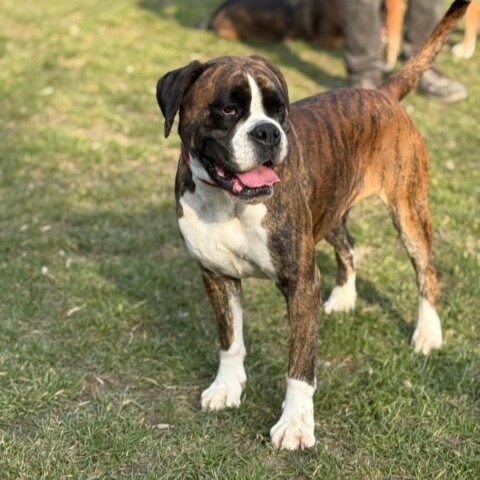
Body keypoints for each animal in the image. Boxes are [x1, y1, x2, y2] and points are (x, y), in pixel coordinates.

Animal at [156, 0, 470, 450]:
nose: (268, 132)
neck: (228, 202)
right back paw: (343, 298)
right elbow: (230, 340)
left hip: (408, 211)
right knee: (349, 247)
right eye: (229, 109)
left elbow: (299, 366)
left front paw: (296, 424)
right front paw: (227, 388)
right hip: (332, 209)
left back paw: (428, 333)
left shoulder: (301, 282)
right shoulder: (217, 276)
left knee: (425, 270)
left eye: (278, 110)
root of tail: (381, 92)